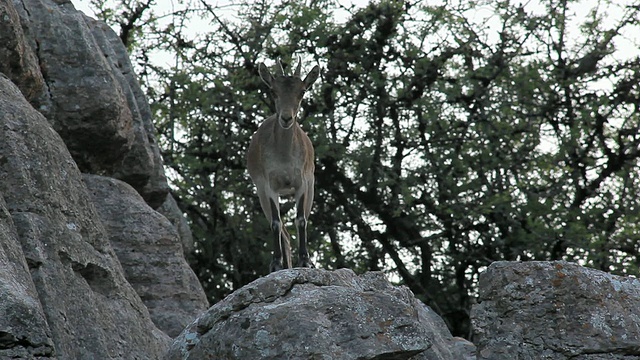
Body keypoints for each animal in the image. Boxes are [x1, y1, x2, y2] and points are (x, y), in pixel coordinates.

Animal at [248, 57, 322, 272]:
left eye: (303, 91)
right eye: (273, 91)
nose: (287, 118)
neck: (284, 157)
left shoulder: (302, 183)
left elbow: (301, 220)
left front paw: (305, 261)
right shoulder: (268, 186)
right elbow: (275, 223)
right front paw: (275, 264)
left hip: (311, 189)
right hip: (262, 194)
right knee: (284, 232)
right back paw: (285, 265)